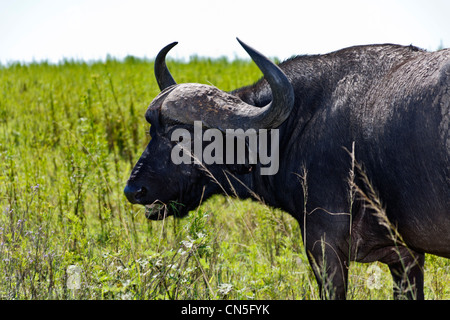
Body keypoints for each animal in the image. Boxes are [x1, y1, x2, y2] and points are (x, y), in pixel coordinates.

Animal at [124, 38, 450, 298]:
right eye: (151, 131)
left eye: (181, 138)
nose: (133, 190)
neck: (296, 126)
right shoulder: (406, 258)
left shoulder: (325, 248)